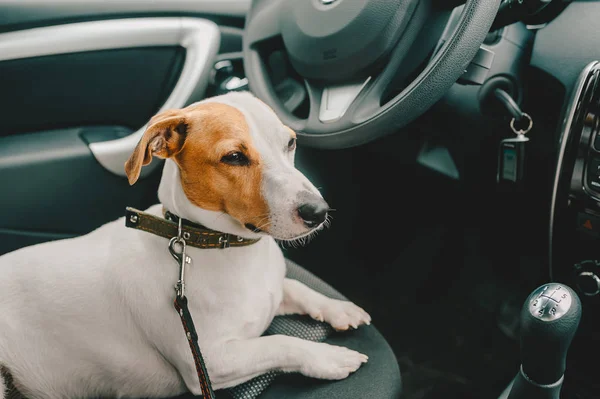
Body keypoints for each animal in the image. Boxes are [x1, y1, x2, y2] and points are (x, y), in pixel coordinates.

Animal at [0, 91, 370, 399]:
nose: (318, 212)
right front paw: (327, 356)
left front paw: (337, 308)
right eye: (234, 157)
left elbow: (296, 287)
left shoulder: (272, 291)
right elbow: (280, 342)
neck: (219, 245)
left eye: (290, 143)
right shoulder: (211, 361)